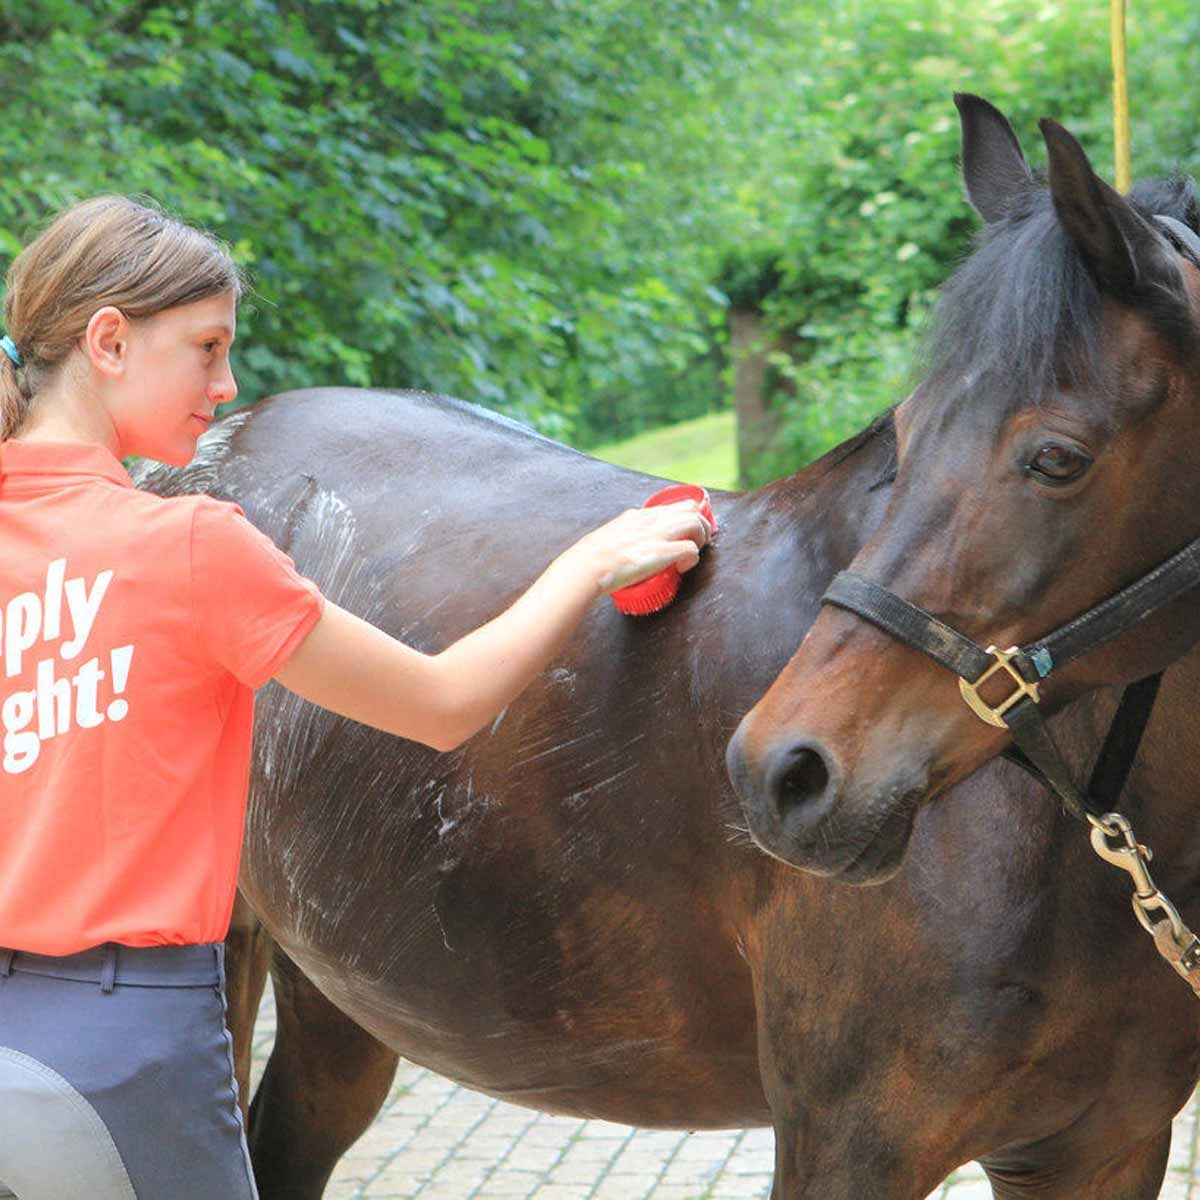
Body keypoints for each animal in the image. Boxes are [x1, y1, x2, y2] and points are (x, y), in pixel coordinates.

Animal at [138, 98, 1200, 1199]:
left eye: (1058, 457)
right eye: (906, 434)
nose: (786, 773)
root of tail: (196, 455)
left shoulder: (1101, 1147)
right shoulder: (850, 1145)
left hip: (341, 1002)